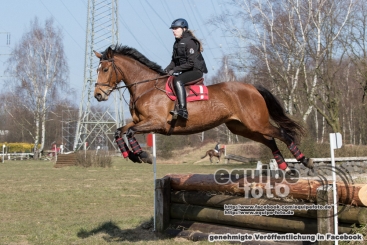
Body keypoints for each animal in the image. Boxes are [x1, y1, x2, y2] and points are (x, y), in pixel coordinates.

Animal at [93, 45, 314, 172]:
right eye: (97, 69)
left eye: (105, 69)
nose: (98, 95)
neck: (146, 86)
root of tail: (252, 87)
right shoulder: (141, 121)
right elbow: (119, 131)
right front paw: (131, 155)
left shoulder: (155, 123)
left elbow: (129, 132)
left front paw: (143, 156)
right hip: (241, 127)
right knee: (270, 141)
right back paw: (284, 166)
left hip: (256, 123)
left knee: (283, 134)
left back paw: (305, 161)